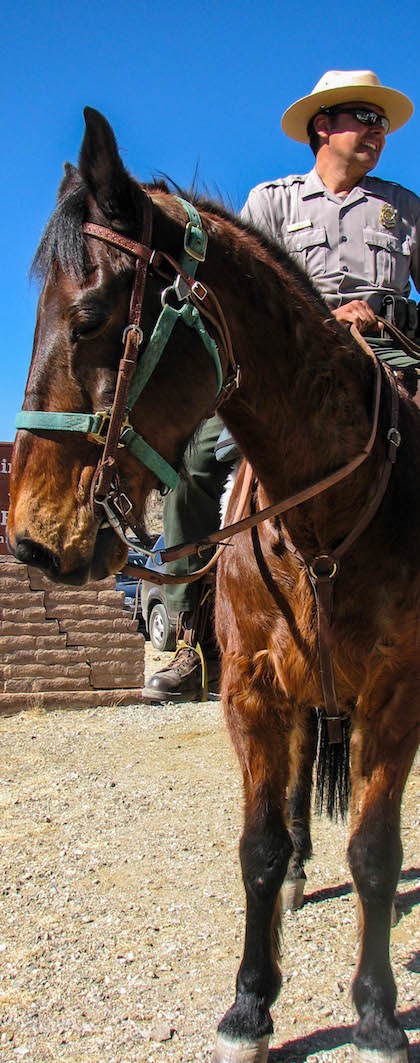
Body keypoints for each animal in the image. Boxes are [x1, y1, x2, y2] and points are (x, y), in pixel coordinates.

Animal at [7, 110, 420, 1063]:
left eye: (89, 316)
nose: (32, 539)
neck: (326, 514)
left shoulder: (396, 692)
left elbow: (376, 852)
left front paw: (377, 1013)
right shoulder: (253, 689)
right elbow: (258, 847)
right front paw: (249, 1006)